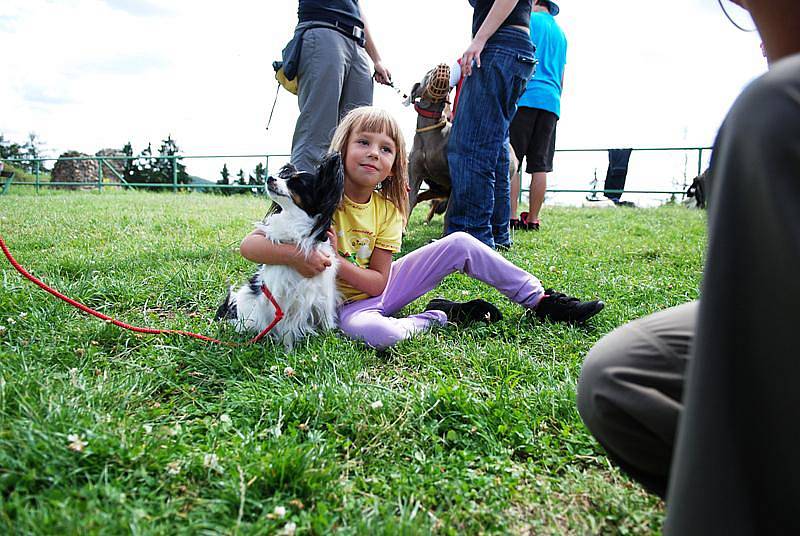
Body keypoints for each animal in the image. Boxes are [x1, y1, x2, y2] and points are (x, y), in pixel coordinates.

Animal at [216, 153, 344, 350]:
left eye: (297, 183)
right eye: (284, 177)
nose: (269, 178)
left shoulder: (324, 293)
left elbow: (327, 319)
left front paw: (331, 339)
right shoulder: (283, 297)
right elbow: (286, 329)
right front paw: (287, 351)